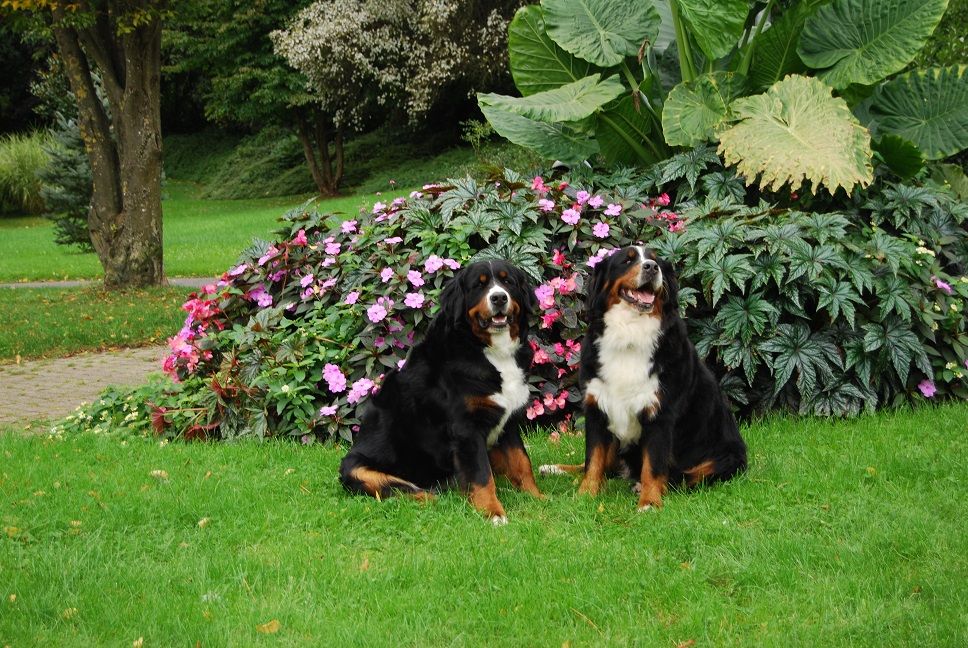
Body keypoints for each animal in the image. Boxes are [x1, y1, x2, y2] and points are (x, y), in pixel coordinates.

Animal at [336, 258, 540, 520]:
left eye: (508, 282)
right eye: (479, 285)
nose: (498, 298)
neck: (491, 352)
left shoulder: (509, 420)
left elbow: (522, 463)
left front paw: (538, 499)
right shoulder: (466, 429)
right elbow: (482, 475)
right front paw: (492, 513)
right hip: (357, 468)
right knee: (406, 490)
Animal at [540, 246, 744, 508]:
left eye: (656, 261)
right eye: (627, 261)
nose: (651, 268)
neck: (629, 334)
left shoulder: (660, 413)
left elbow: (653, 467)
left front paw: (649, 502)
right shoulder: (597, 408)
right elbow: (593, 461)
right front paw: (585, 495)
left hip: (725, 458)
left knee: (687, 477)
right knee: (604, 466)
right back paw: (553, 468)